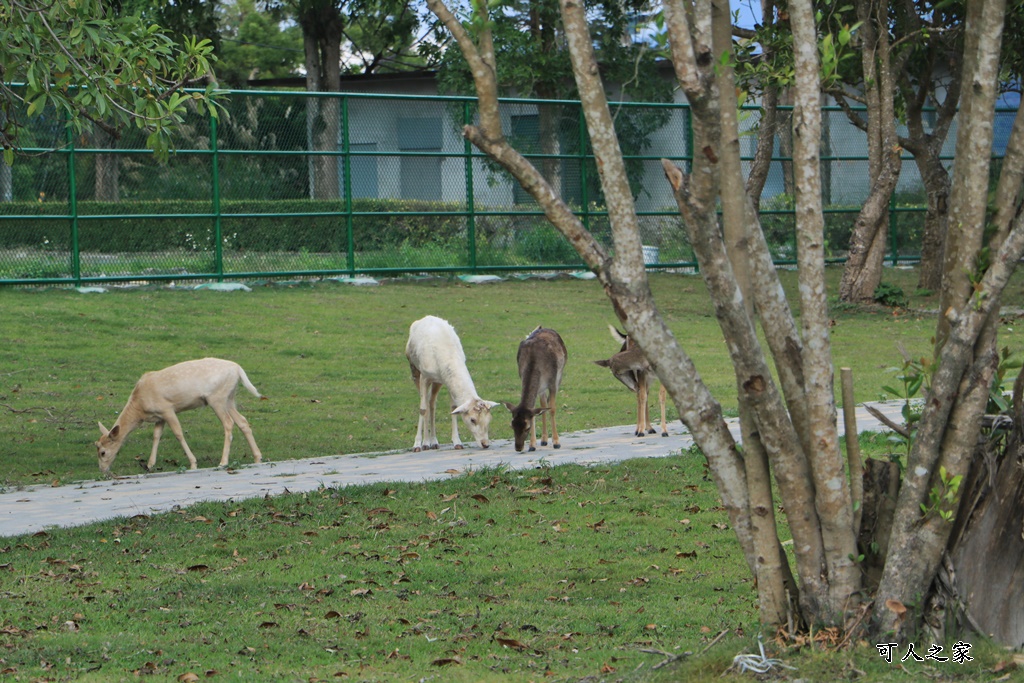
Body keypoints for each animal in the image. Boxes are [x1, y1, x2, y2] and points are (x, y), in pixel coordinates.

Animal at [401, 317, 497, 454]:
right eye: (472, 419)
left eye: (489, 419)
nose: (485, 444)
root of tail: (425, 317)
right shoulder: (425, 376)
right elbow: (422, 409)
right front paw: (418, 445)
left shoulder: (446, 381)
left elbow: (453, 408)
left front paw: (457, 442)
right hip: (414, 369)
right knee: (425, 403)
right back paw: (425, 443)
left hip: (438, 382)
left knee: (432, 403)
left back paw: (434, 442)